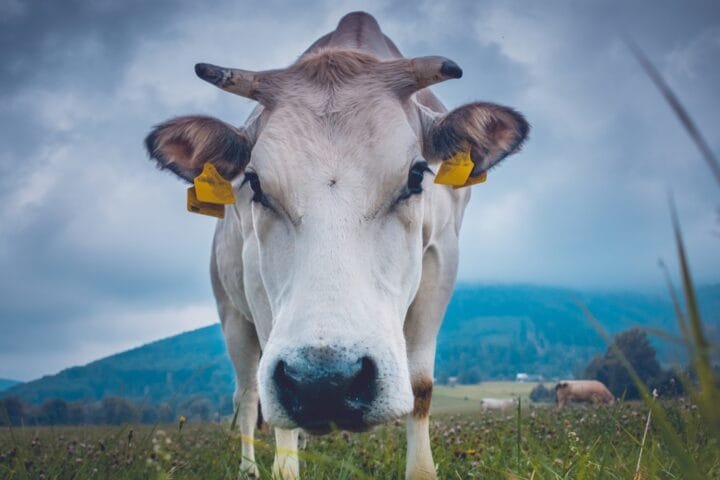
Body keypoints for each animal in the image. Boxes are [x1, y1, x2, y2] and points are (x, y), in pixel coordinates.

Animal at [144, 12, 528, 480]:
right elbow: (272, 410)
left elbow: (420, 386)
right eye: (254, 183)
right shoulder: (255, 281)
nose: (324, 381)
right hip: (230, 311)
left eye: (416, 175)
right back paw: (249, 468)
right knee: (248, 393)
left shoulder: (442, 258)